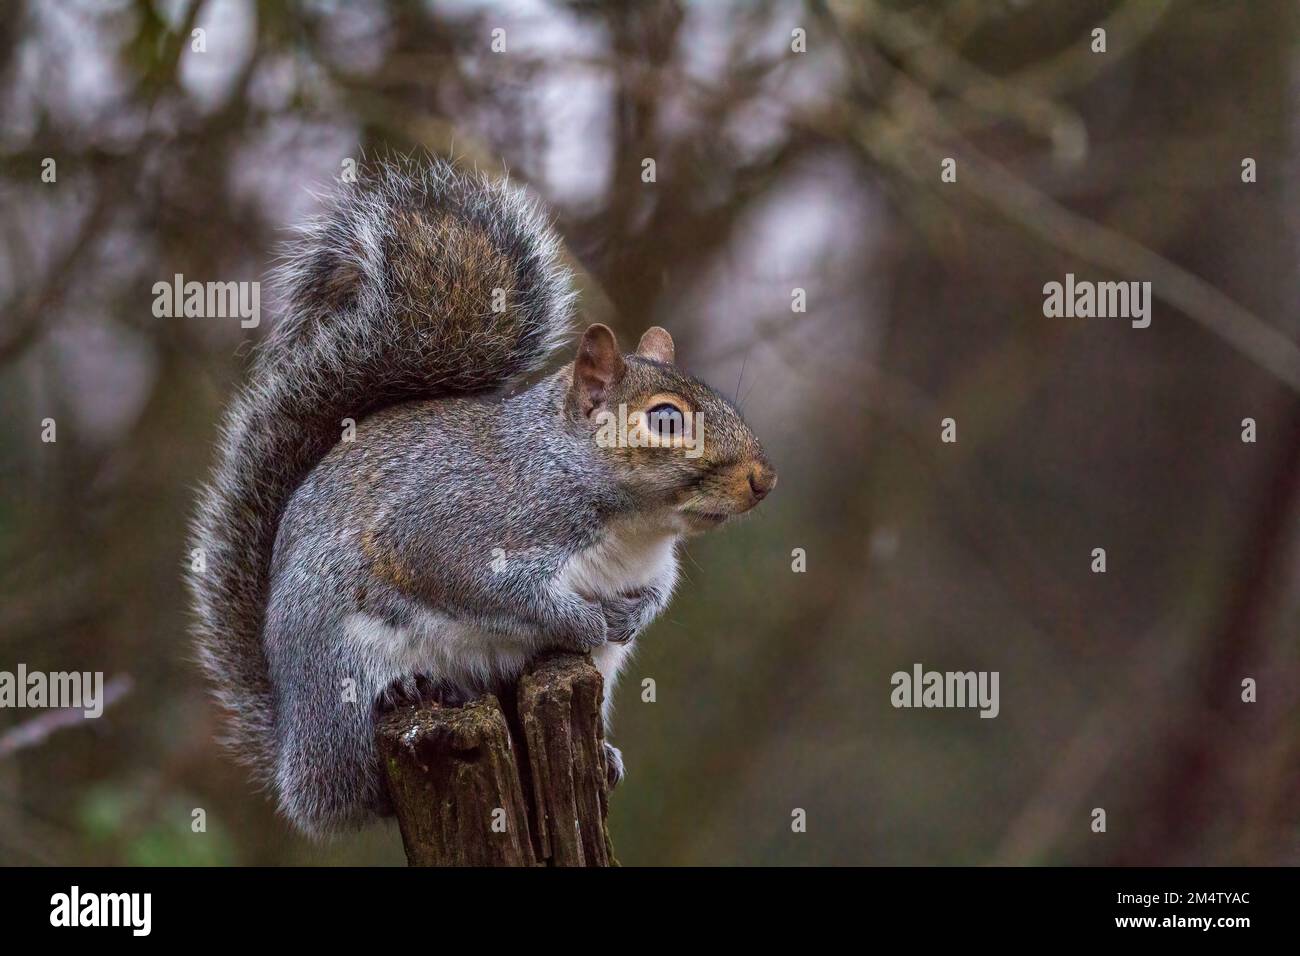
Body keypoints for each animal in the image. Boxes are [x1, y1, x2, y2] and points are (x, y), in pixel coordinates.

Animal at [188, 158, 774, 837]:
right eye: (666, 420)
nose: (764, 480)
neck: (631, 530)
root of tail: (295, 760)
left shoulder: (652, 566)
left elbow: (657, 592)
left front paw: (632, 616)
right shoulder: (455, 529)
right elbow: (492, 589)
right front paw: (582, 618)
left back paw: (602, 752)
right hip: (343, 680)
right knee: (364, 780)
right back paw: (409, 697)